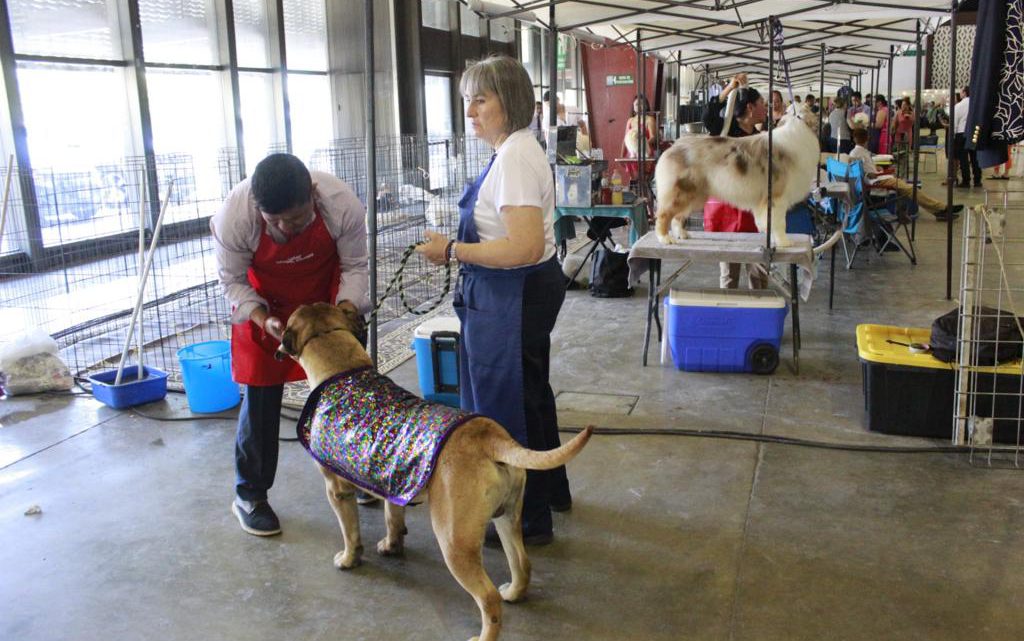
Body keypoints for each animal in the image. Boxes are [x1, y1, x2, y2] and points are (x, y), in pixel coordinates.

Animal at [276, 301, 598, 638]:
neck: (335, 355)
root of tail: (488, 436)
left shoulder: (337, 490)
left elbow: (350, 531)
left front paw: (349, 559)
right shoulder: (395, 481)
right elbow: (393, 517)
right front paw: (392, 545)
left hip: (454, 541)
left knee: (488, 600)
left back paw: (484, 633)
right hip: (508, 517)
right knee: (522, 564)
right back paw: (513, 592)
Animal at [659, 105, 819, 245]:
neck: (797, 126)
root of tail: (674, 145)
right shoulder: (776, 197)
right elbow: (779, 222)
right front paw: (784, 242)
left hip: (694, 195)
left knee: (678, 216)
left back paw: (682, 234)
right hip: (681, 191)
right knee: (664, 214)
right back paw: (665, 238)